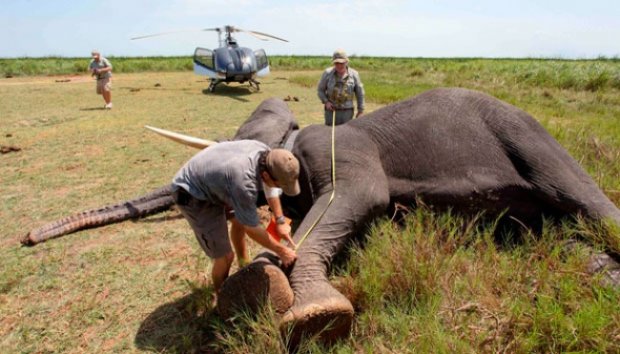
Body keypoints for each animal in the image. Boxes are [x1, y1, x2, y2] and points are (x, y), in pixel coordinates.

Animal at [23, 88, 620, 346]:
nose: (26, 238)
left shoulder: (339, 150)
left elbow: (360, 198)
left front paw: (313, 315)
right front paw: (260, 283)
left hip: (526, 135)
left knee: (587, 203)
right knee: (557, 236)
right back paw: (601, 277)